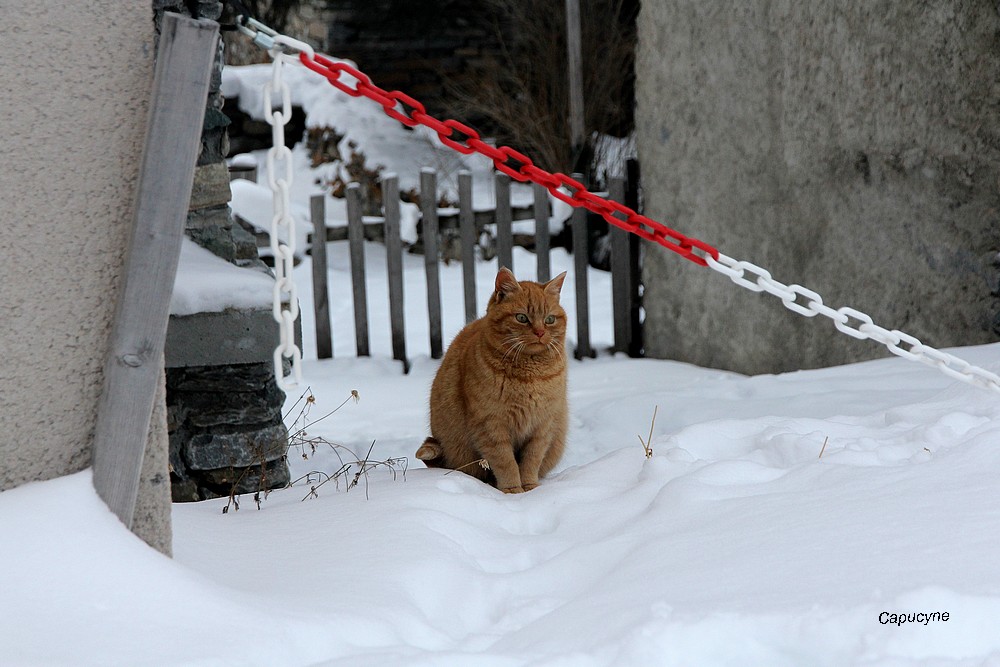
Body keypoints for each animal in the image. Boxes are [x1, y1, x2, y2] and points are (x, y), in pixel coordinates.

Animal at [416, 268, 572, 494]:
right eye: (522, 318)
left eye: (550, 319)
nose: (540, 332)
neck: (530, 376)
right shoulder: (491, 426)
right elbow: (506, 463)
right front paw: (513, 490)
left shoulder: (542, 427)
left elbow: (531, 461)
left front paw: (530, 488)